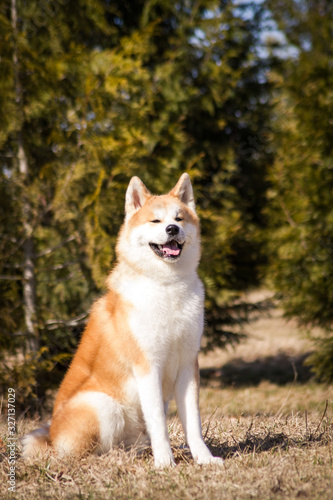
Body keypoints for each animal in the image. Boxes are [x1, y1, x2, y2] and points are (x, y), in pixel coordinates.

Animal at [22, 174, 222, 466]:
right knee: (87, 453)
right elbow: (159, 422)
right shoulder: (147, 366)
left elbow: (193, 423)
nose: (172, 229)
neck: (167, 286)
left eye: (179, 218)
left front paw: (204, 458)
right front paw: (165, 463)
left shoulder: (187, 364)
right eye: (155, 221)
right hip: (102, 405)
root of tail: (50, 437)